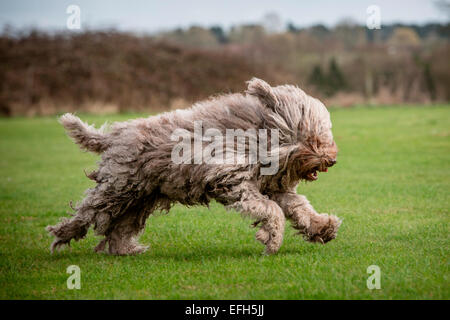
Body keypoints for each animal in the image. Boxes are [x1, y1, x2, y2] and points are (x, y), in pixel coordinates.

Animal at [46, 77, 342, 255]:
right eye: (313, 140)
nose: (332, 160)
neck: (256, 134)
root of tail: (115, 135)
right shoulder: (231, 179)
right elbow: (272, 210)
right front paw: (272, 240)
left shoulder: (272, 185)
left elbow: (298, 207)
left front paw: (322, 227)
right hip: (119, 187)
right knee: (88, 211)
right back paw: (62, 234)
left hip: (141, 197)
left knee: (120, 227)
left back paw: (125, 250)